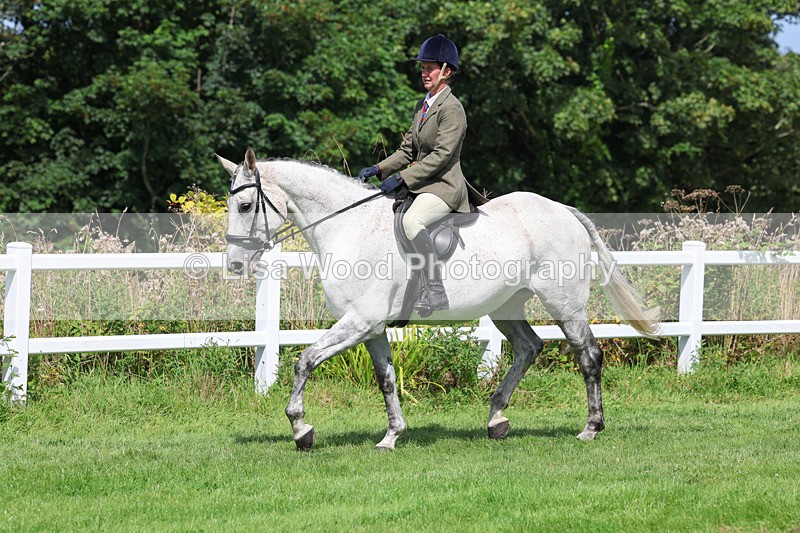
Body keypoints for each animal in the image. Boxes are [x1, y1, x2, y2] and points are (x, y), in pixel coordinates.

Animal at [218, 147, 658, 451]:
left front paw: (301, 429)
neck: (349, 227)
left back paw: (590, 428)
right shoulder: (371, 328)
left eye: (245, 205)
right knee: (528, 347)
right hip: (506, 306)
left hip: (564, 305)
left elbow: (305, 361)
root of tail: (564, 210)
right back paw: (497, 419)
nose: (236, 264)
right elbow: (386, 379)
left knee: (588, 356)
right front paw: (391, 436)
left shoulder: (359, 321)